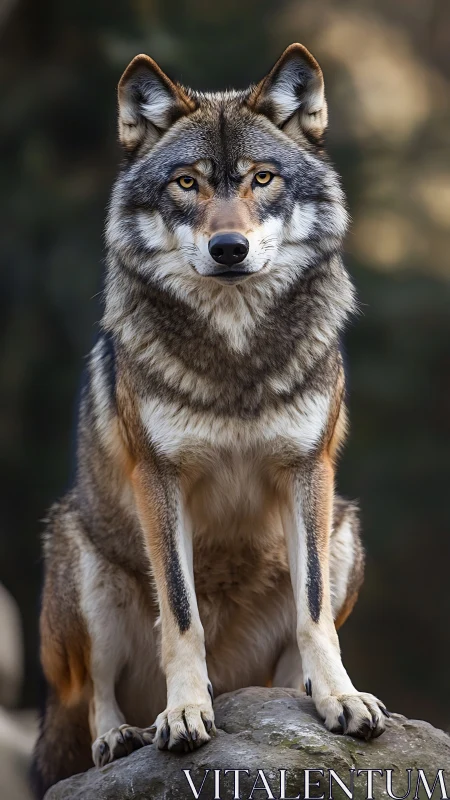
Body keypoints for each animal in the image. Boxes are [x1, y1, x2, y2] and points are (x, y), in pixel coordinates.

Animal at [32, 43, 387, 797]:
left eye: (262, 178)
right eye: (188, 183)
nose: (229, 248)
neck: (235, 355)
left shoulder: (308, 471)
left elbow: (315, 614)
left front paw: (340, 697)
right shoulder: (160, 478)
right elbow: (182, 613)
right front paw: (187, 713)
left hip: (344, 528)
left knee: (286, 663)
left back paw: (293, 698)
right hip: (81, 558)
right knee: (94, 694)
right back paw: (124, 736)